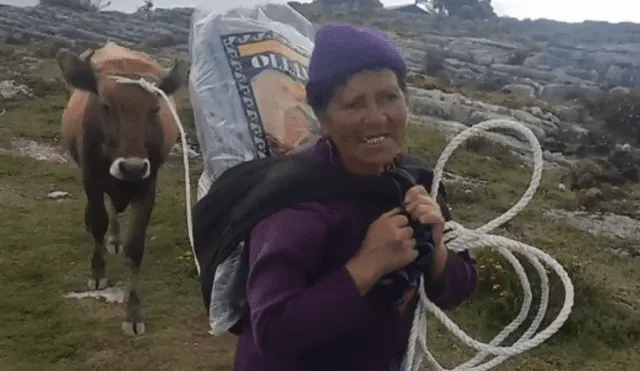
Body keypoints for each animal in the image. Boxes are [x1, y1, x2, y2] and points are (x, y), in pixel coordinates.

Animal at [55, 42, 182, 336]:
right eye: (105, 105)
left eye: (155, 109)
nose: (132, 167)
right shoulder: (91, 179)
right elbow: (98, 223)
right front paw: (98, 273)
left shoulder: (148, 186)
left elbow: (135, 248)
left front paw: (133, 313)